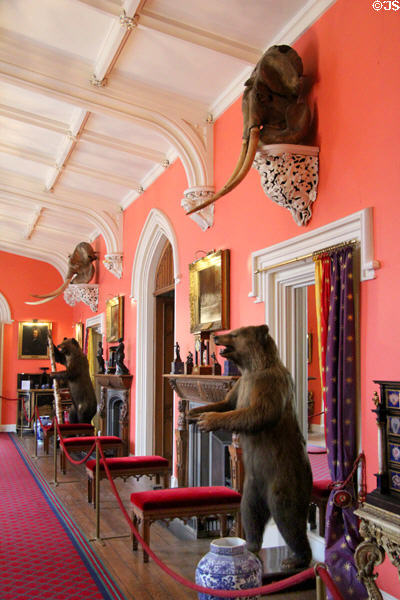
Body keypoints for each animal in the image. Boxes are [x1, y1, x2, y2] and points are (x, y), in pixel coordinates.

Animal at [188, 326, 312, 568]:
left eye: (235, 333)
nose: (216, 335)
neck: (250, 367)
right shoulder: (241, 385)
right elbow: (226, 402)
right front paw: (193, 413)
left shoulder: (268, 384)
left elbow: (258, 413)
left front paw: (208, 419)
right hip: (252, 484)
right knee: (250, 512)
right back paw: (252, 545)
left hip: (284, 477)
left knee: (288, 516)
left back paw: (295, 559)